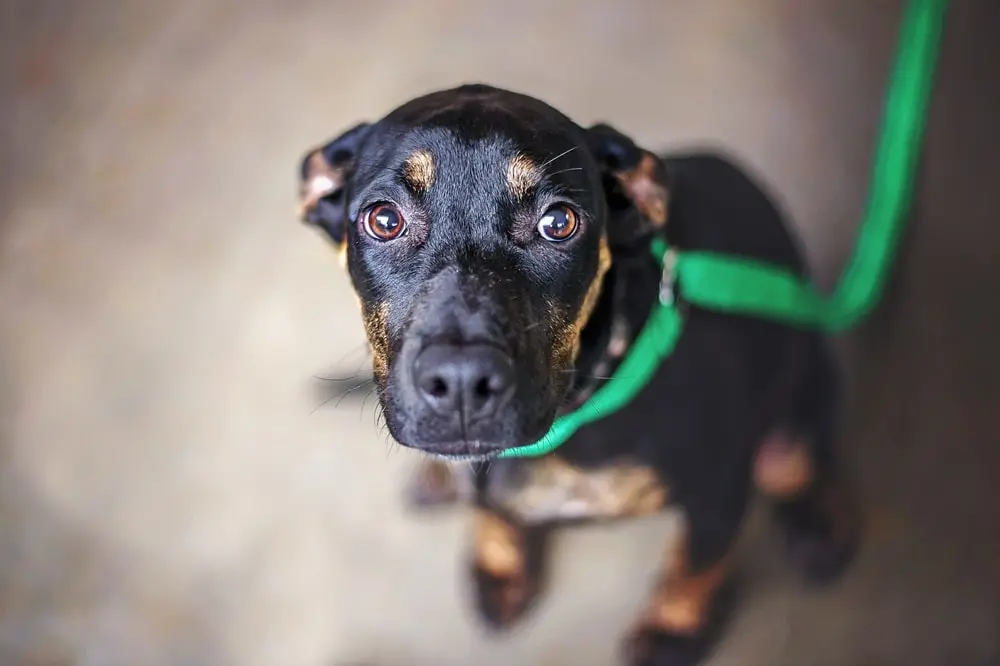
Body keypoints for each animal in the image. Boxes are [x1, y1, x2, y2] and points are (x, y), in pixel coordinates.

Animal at [298, 84, 860, 664]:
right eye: (384, 220)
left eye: (558, 223)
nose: (461, 384)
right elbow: (491, 512)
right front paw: (500, 566)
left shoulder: (717, 490)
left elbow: (694, 566)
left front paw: (671, 629)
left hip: (793, 415)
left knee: (801, 462)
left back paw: (820, 523)